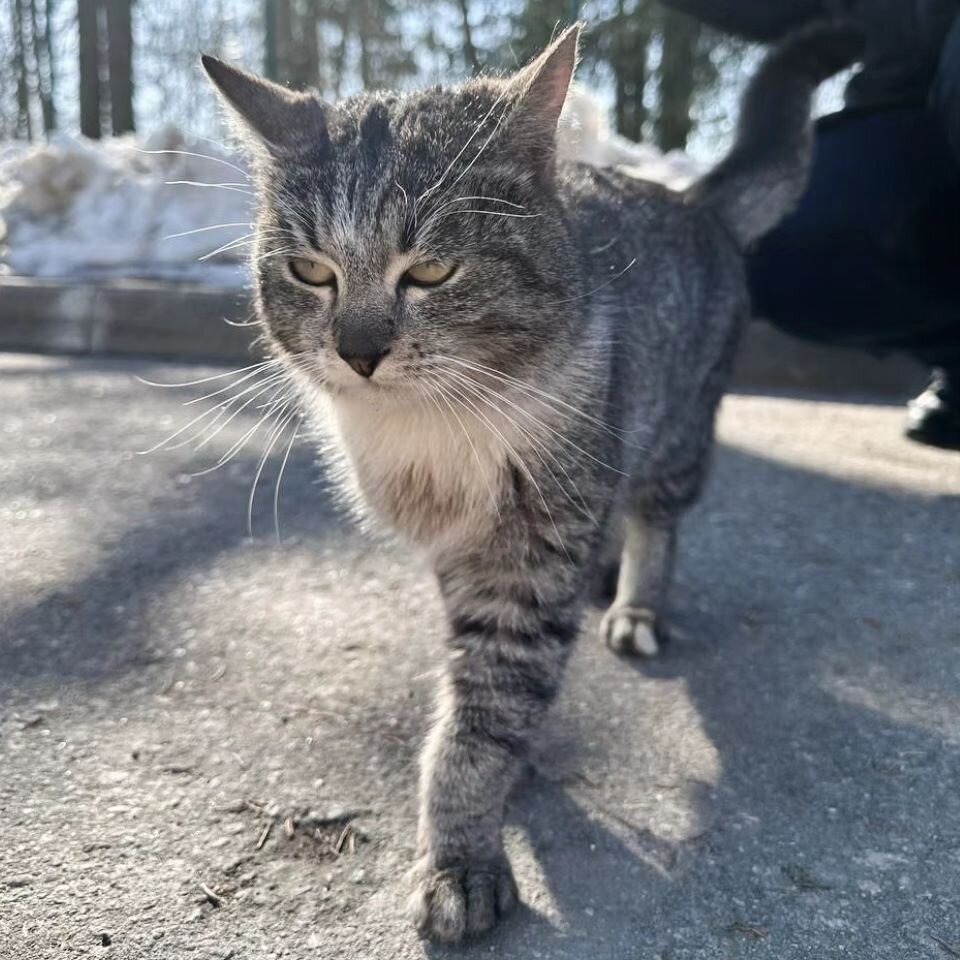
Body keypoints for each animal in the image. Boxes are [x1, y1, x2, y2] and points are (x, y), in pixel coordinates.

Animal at [202, 22, 864, 944]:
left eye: (431, 272)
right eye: (311, 271)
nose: (358, 350)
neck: (429, 434)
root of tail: (694, 201)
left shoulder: (528, 554)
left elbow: (483, 721)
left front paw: (461, 857)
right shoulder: (460, 551)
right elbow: (474, 686)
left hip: (674, 436)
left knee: (656, 520)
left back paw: (636, 604)